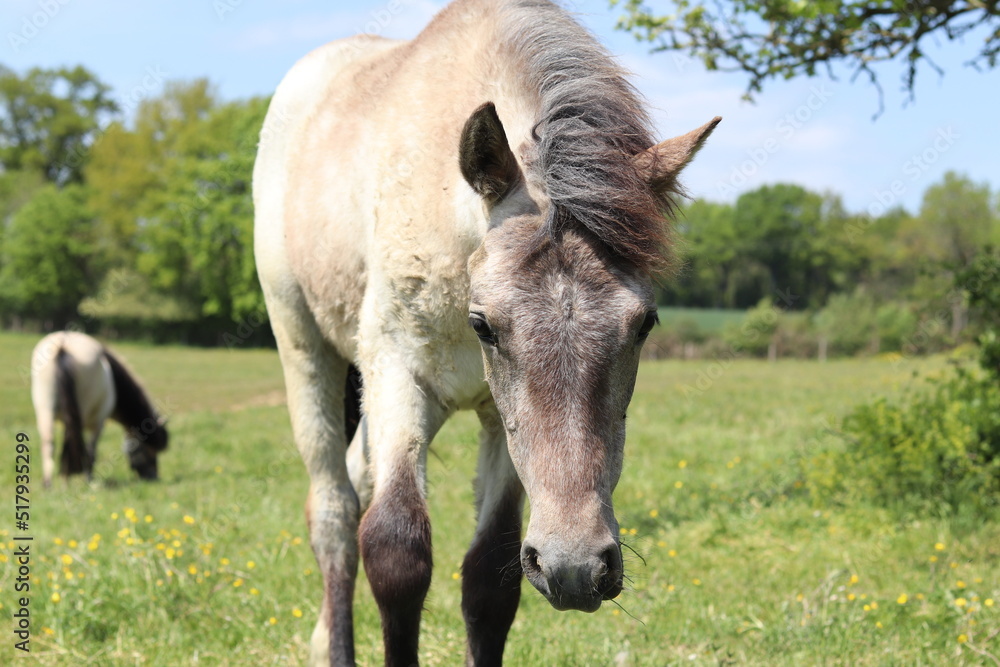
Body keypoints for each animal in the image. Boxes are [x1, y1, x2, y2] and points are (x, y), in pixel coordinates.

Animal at [30, 332, 168, 486]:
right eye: (151, 450)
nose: (153, 477)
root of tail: (63, 346)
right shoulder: (99, 423)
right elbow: (92, 451)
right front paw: (89, 479)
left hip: (45, 411)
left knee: (49, 442)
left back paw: (49, 484)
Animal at [252, 1, 720, 664]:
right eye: (485, 325)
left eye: (644, 324)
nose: (578, 567)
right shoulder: (395, 373)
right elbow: (396, 549)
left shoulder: (499, 420)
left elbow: (490, 577)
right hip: (305, 348)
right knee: (336, 511)